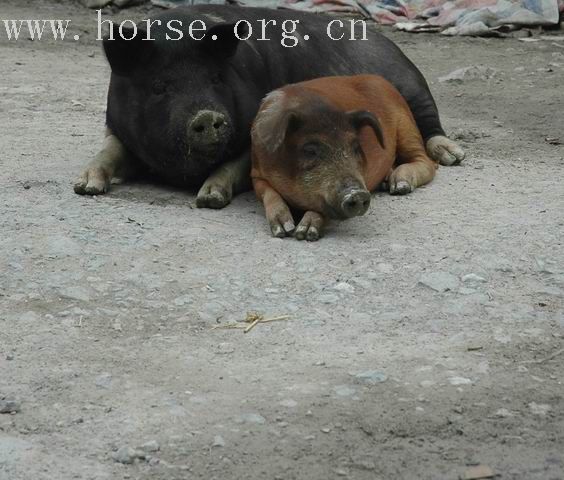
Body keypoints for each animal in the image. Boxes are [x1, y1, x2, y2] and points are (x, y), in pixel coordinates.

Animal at [251, 74, 440, 240]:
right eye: (310, 150)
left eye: (356, 147)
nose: (358, 193)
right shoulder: (256, 173)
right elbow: (268, 193)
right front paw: (284, 230)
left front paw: (305, 233)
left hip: (406, 125)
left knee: (426, 162)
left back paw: (399, 185)